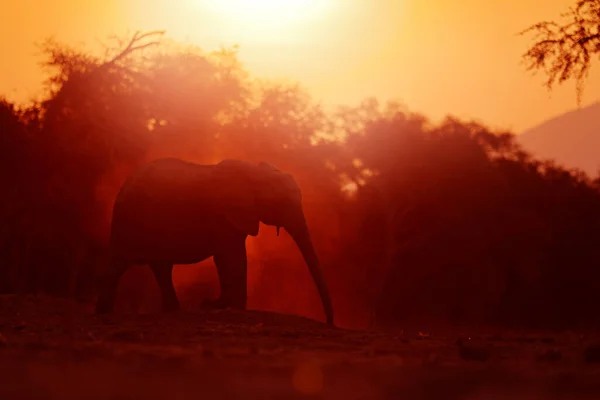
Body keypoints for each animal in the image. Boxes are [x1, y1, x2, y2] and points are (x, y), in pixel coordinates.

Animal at [96, 156, 336, 324]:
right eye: (283, 202)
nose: (329, 322)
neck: (254, 172)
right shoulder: (225, 215)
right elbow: (232, 259)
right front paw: (219, 305)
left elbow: (230, 259)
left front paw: (220, 305)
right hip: (127, 221)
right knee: (117, 265)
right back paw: (104, 313)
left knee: (161, 268)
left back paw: (173, 310)